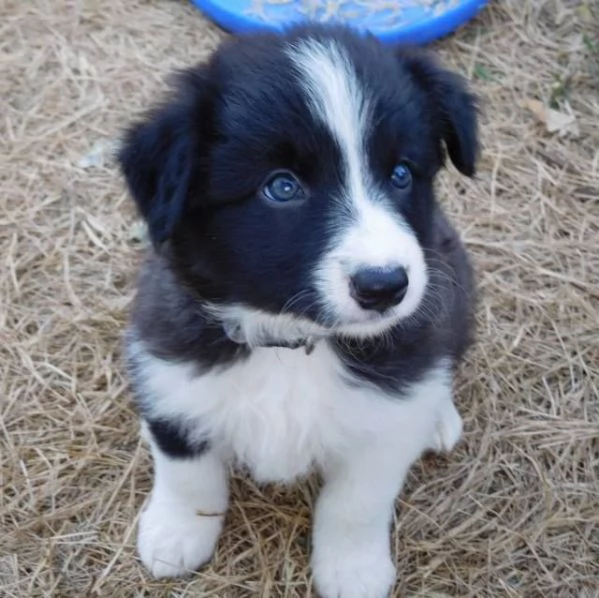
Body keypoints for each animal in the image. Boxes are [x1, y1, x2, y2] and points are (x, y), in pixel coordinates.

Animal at [119, 23, 478, 598]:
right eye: (282, 187)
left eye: (401, 174)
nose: (385, 286)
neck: (290, 341)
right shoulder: (171, 362)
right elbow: (185, 467)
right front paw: (175, 534)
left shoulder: (385, 417)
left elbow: (357, 502)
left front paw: (353, 571)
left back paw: (438, 418)